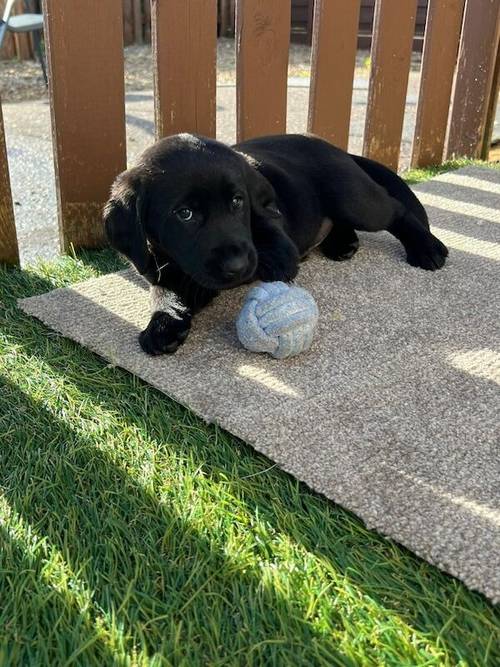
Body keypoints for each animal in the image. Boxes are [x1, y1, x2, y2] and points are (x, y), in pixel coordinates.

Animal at [103, 132, 448, 358]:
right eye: (184, 214)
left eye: (237, 201)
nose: (237, 266)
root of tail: (336, 147)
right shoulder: (155, 265)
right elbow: (165, 290)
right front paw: (163, 324)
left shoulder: (275, 236)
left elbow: (272, 252)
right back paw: (343, 242)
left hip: (352, 197)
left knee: (396, 210)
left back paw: (427, 247)